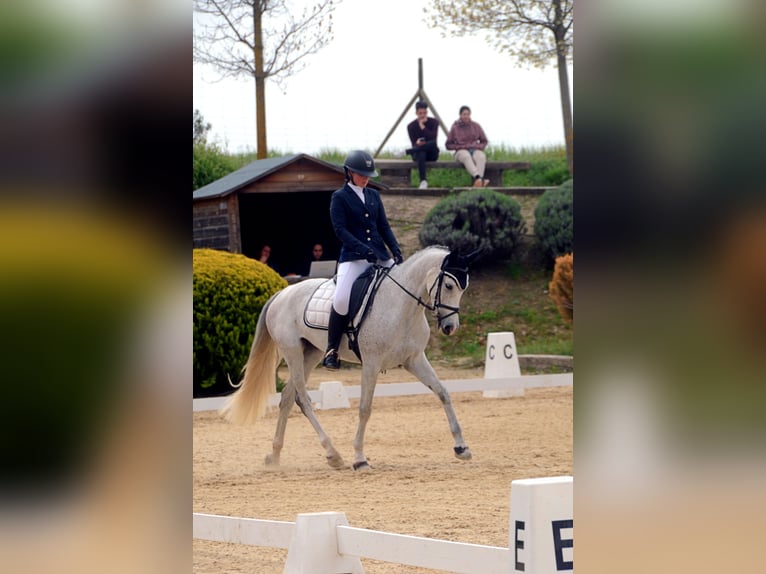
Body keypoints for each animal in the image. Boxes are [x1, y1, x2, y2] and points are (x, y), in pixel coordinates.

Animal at [219, 245, 476, 470]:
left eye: (464, 288)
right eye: (449, 285)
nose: (450, 327)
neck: (402, 306)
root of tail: (282, 293)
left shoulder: (414, 359)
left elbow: (443, 393)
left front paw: (461, 448)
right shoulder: (371, 363)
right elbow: (365, 408)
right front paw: (360, 459)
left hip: (310, 353)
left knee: (288, 398)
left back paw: (275, 455)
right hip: (292, 352)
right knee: (303, 399)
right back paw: (333, 454)